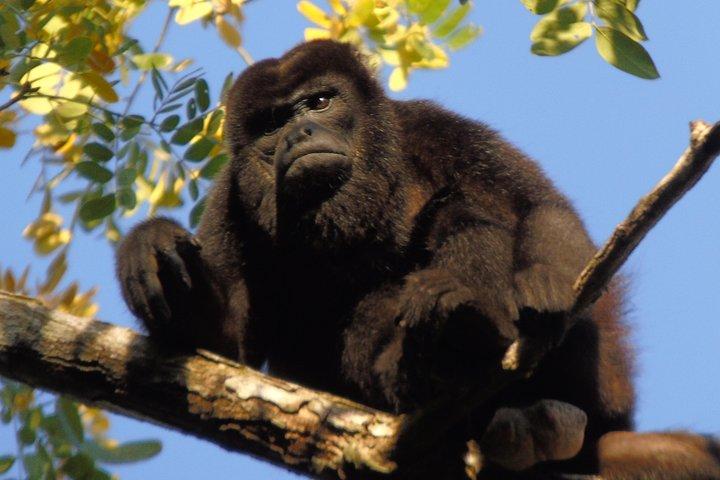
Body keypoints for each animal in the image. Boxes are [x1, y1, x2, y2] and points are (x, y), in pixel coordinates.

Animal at [116, 40, 720, 479]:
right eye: (270, 123)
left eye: (320, 102)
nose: (299, 133)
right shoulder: (229, 196)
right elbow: (223, 347)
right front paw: (152, 248)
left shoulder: (434, 127)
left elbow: (537, 205)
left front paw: (545, 282)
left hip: (603, 380)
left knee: (466, 209)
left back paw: (470, 326)